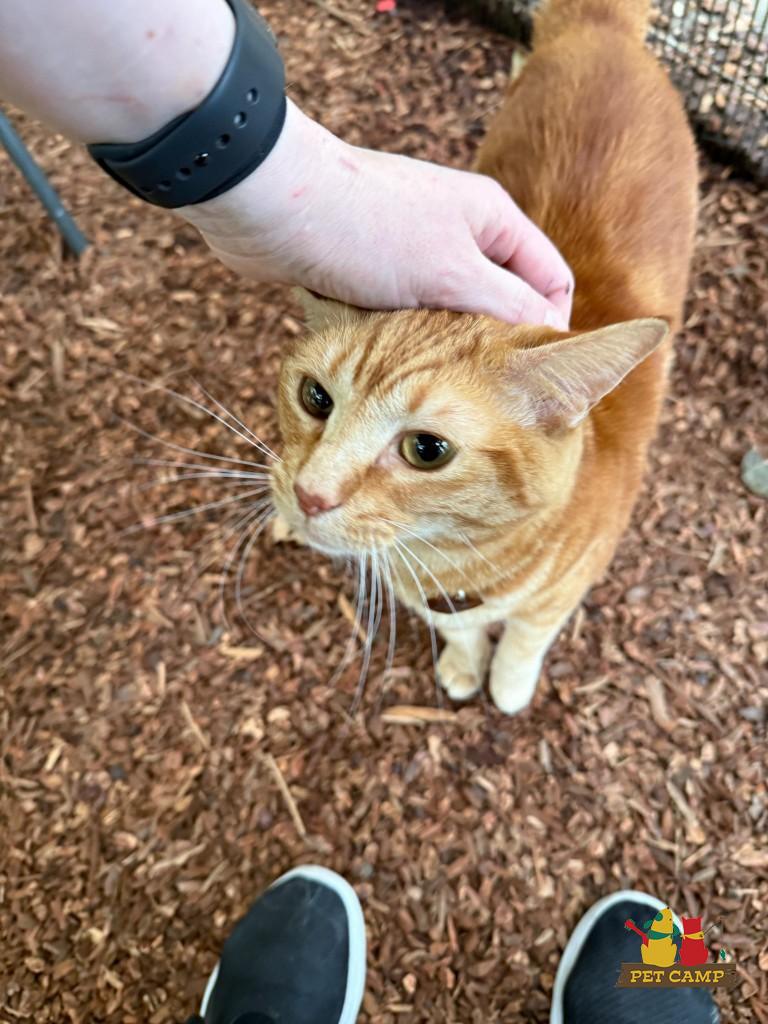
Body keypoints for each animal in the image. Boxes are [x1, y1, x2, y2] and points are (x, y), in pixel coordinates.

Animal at [269, 0, 698, 714]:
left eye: (427, 450)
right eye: (315, 398)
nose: (308, 494)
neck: (453, 563)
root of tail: (603, 28)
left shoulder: (558, 596)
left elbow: (526, 638)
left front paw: (508, 685)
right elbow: (459, 633)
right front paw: (465, 663)